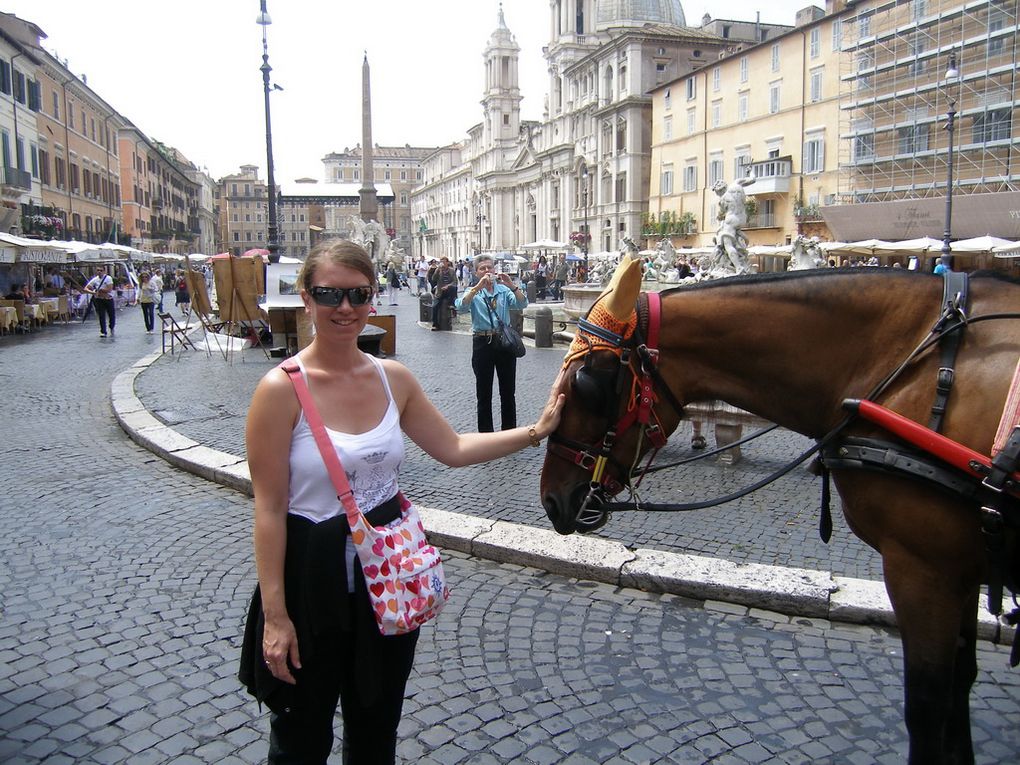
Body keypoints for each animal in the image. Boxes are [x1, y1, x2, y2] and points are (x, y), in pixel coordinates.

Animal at [538, 261, 1015, 762]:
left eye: (588, 382)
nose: (551, 499)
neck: (896, 366)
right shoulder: (956, 570)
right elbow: (960, 680)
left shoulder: (924, 570)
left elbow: (928, 705)